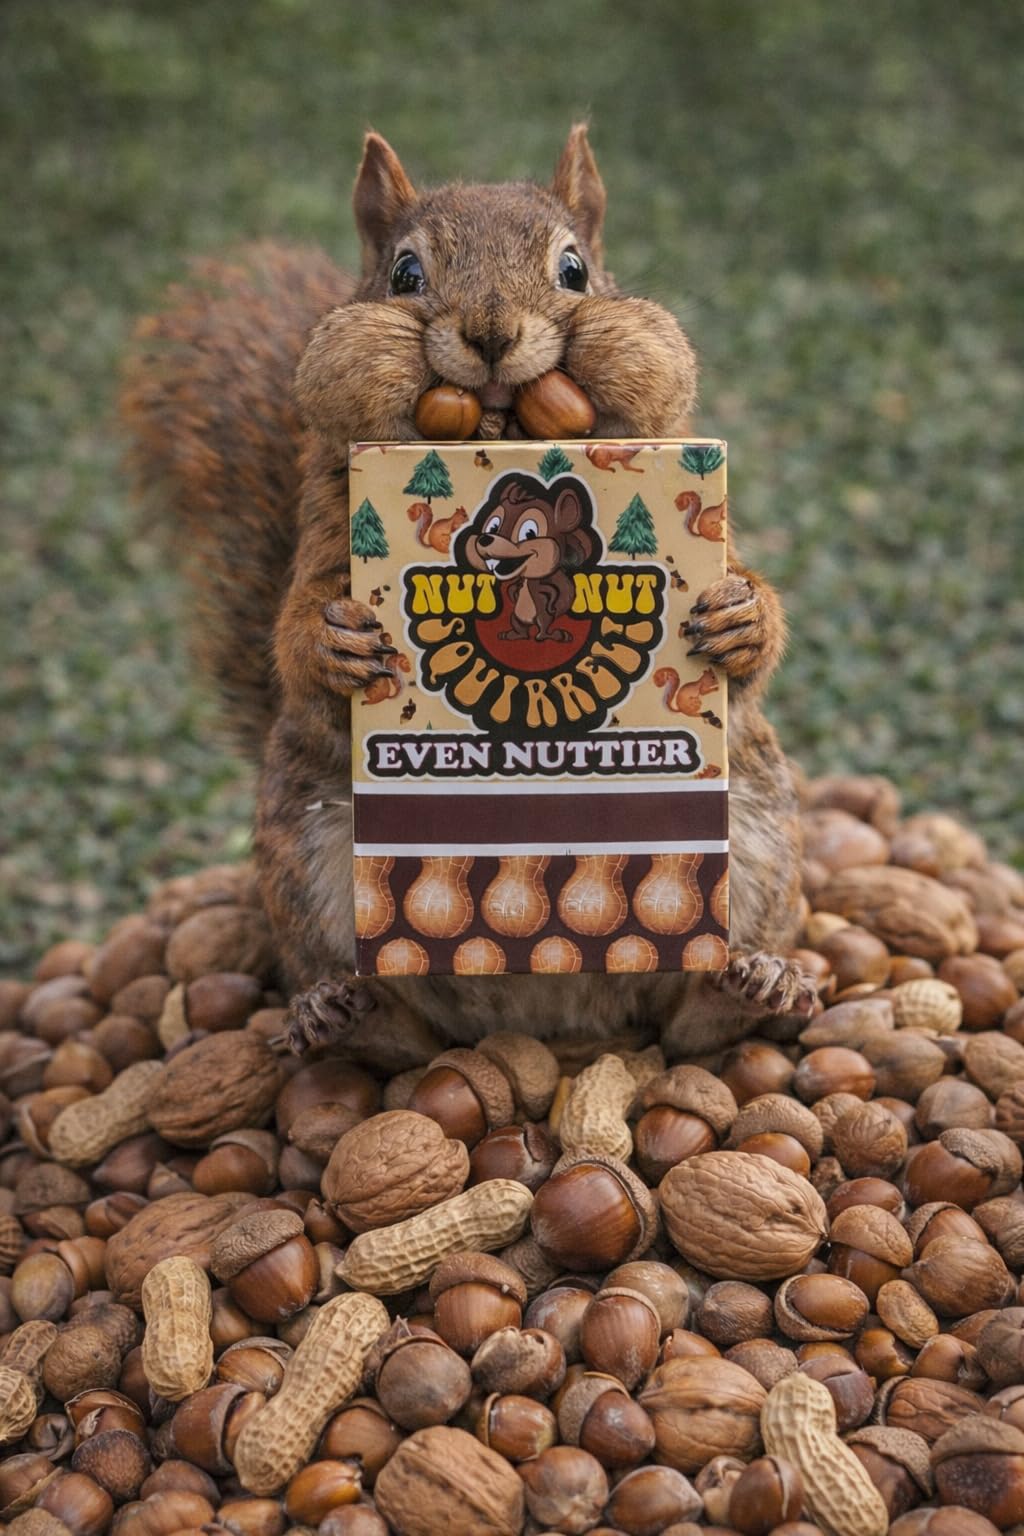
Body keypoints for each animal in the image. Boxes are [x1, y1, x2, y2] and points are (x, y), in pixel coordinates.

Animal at [121, 125, 812, 1067]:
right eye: (404, 274)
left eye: (575, 270)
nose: (489, 333)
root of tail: (550, 1018)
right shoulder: (323, 532)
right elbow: (294, 635)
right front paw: (335, 641)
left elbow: (756, 626)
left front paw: (740, 616)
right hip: (307, 858)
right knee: (400, 1033)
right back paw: (344, 1013)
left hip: (760, 841)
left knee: (683, 1023)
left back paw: (748, 987)